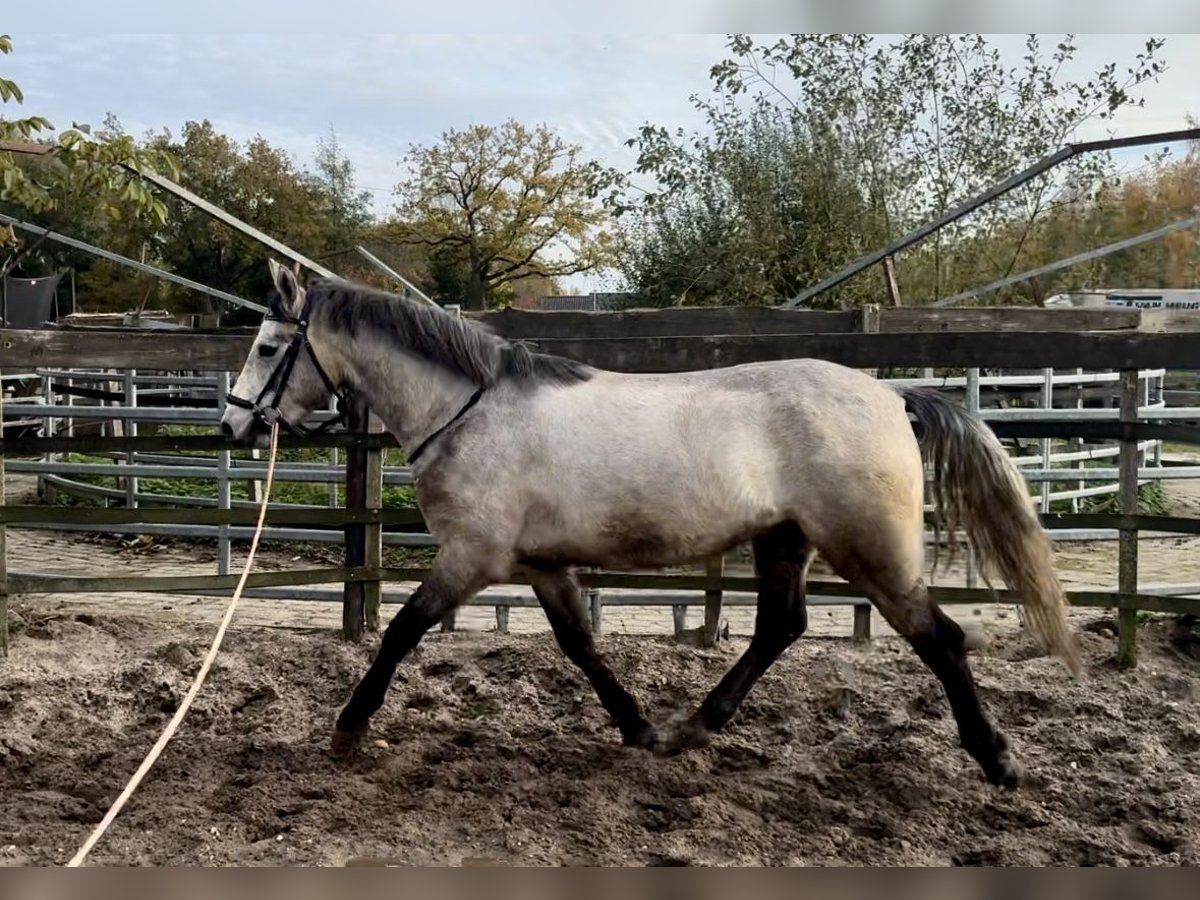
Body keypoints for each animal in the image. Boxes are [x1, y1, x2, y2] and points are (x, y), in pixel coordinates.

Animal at [220, 260, 1080, 788]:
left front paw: (348, 729)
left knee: (941, 640)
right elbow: (581, 645)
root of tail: (893, 397)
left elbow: (400, 632)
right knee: (781, 628)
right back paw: (694, 727)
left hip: (869, 551)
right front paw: (636, 727)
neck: (471, 411)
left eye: (268, 346)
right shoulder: (539, 564)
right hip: (785, 539)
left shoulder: (471, 557)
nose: (232, 424)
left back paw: (997, 759)